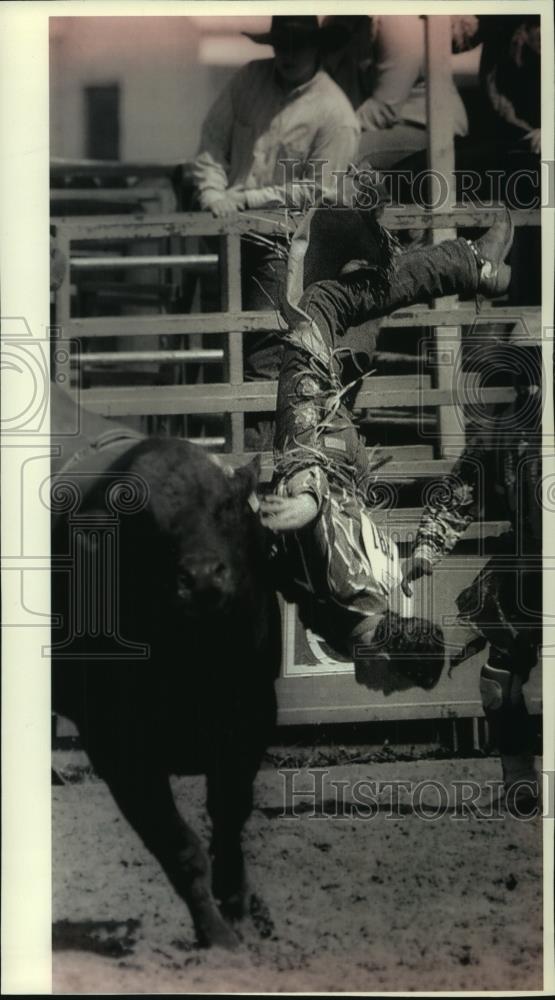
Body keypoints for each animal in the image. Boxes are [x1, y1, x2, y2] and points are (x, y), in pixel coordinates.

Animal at [52, 386, 282, 948]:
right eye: (145, 523)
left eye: (225, 507)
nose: (201, 578)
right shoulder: (116, 744)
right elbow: (177, 844)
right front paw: (217, 936)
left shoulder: (250, 712)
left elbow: (229, 816)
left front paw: (238, 905)